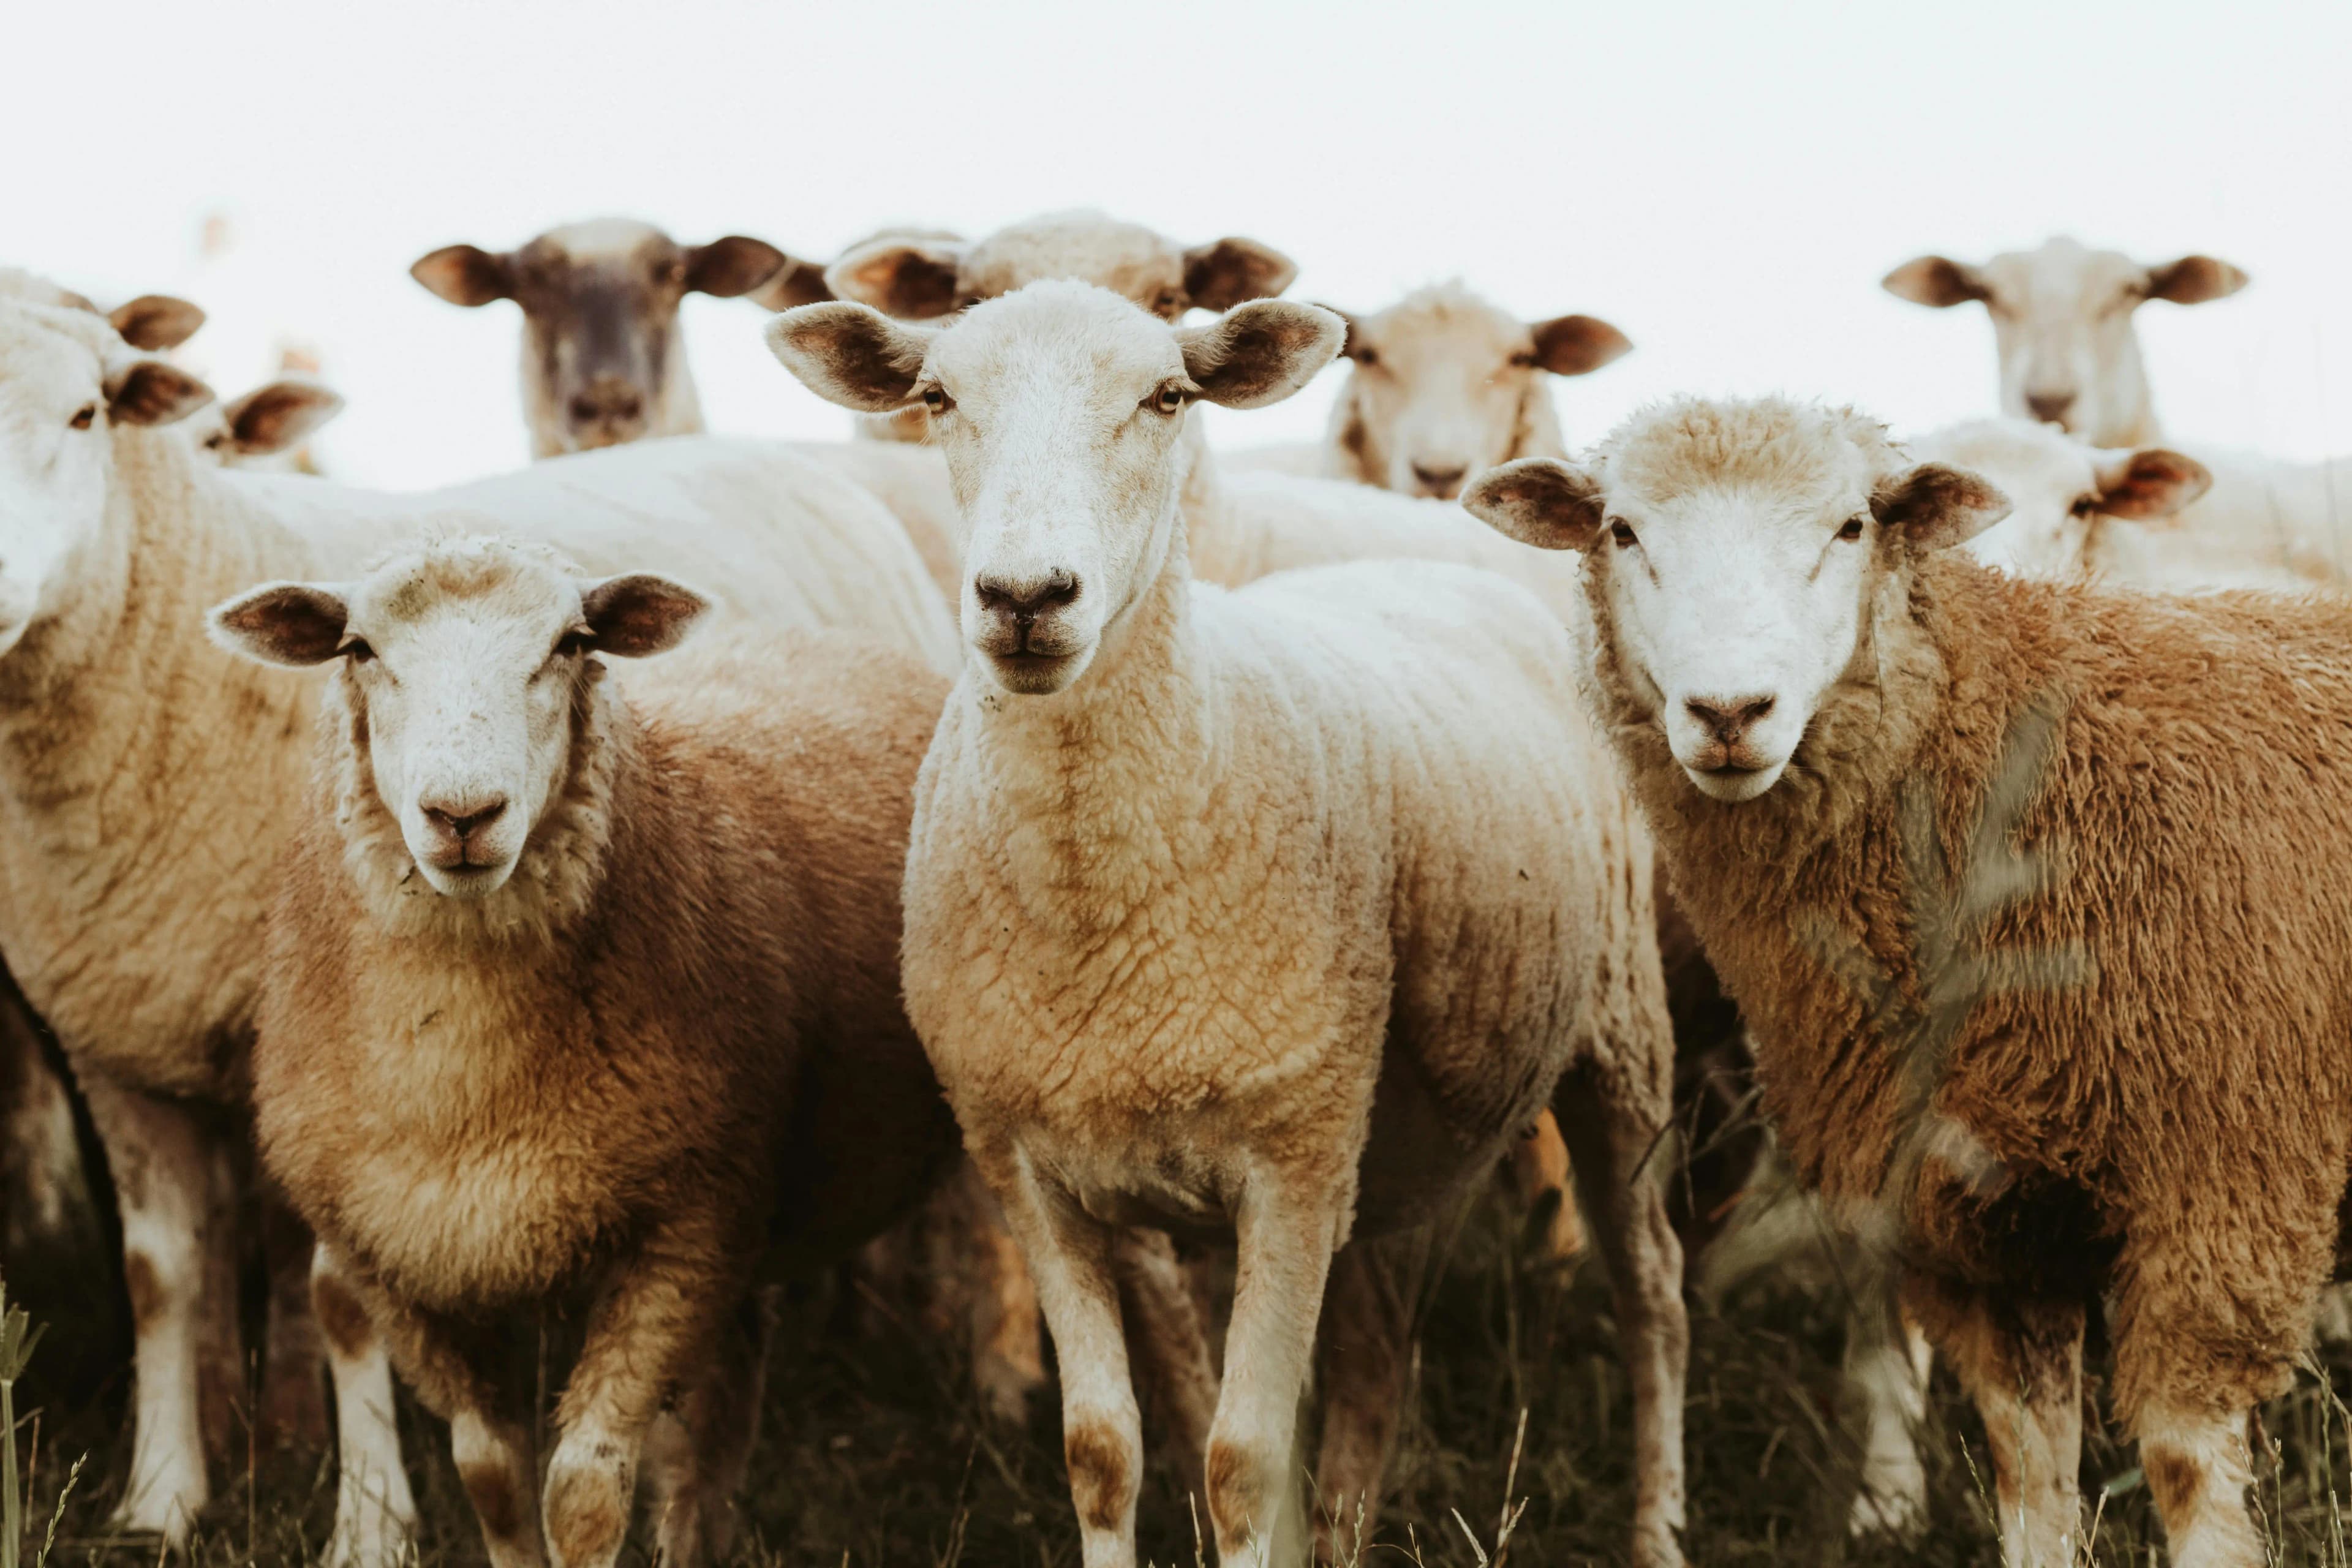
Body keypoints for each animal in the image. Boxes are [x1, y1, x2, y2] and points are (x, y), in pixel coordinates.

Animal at [209, 535, 959, 1568]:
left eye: (569, 645)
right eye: (359, 649)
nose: (463, 815)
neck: (465, 1082)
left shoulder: (680, 1231)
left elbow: (585, 1491)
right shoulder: (407, 1261)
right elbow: (492, 1478)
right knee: (725, 1409)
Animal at [1465, 394, 2352, 1568]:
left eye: (1852, 526)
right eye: (1621, 531)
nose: (1730, 712)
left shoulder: (2224, 1201)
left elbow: (2186, 1471)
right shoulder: (1975, 1224)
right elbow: (2030, 1476)